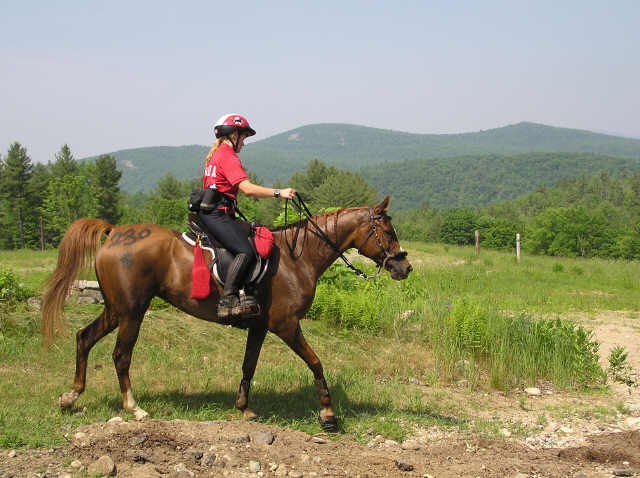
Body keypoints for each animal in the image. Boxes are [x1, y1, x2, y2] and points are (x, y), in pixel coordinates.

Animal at [41, 196, 410, 428]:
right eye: (388, 232)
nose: (404, 267)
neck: (297, 257)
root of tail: (116, 232)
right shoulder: (287, 324)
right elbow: (316, 362)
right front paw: (328, 413)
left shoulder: (260, 326)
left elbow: (249, 365)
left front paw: (244, 408)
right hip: (132, 311)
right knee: (121, 355)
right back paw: (134, 408)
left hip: (116, 309)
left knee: (84, 337)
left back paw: (70, 397)